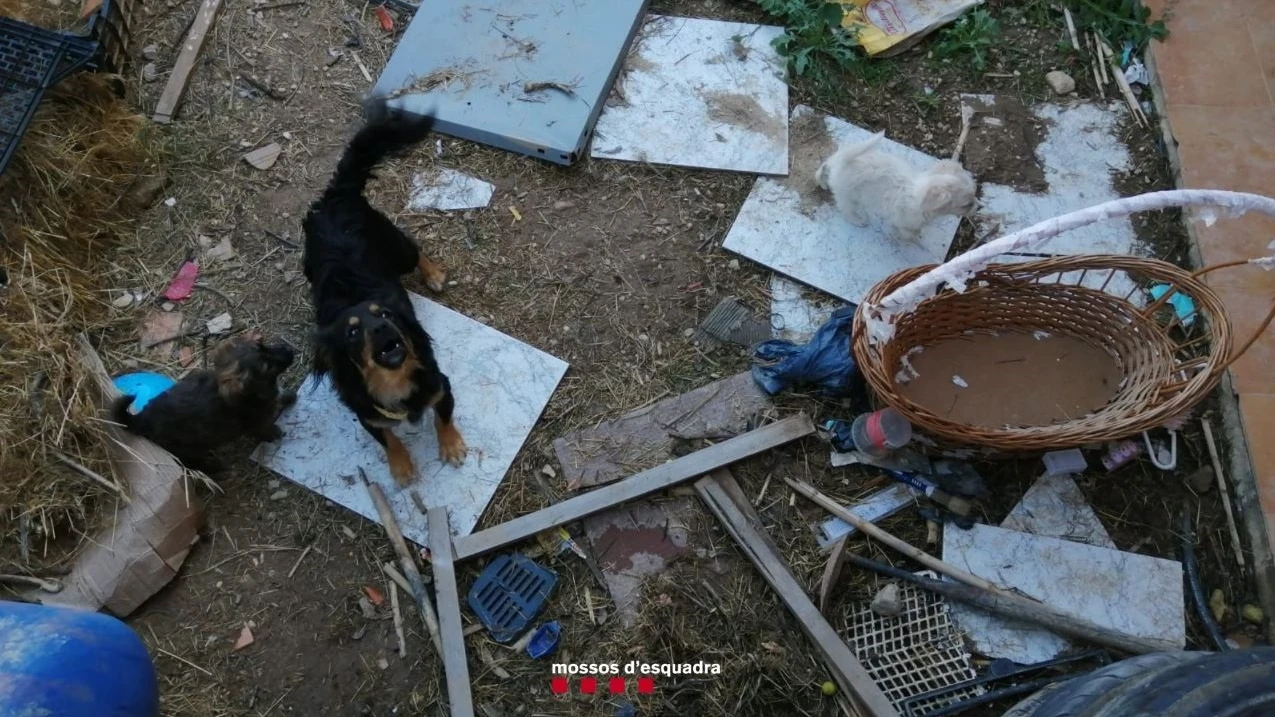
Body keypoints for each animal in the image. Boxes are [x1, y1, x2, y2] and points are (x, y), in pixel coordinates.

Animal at [112, 334, 295, 472]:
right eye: (266, 366)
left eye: (262, 345)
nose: (289, 349)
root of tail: (142, 418)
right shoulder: (255, 423)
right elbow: (265, 428)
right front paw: (274, 432)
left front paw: (288, 396)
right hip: (186, 449)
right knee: (191, 463)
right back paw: (214, 467)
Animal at [300, 102, 466, 484]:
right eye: (352, 331)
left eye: (387, 315)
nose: (381, 329)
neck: (393, 381)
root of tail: (336, 195)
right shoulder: (365, 414)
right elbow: (388, 437)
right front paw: (401, 466)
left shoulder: (441, 385)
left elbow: (443, 416)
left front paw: (452, 445)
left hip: (396, 249)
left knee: (415, 248)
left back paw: (434, 274)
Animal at [816, 132, 974, 243]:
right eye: (966, 205)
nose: (978, 206)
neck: (919, 193)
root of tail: (846, 160)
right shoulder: (904, 220)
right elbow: (907, 231)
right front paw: (909, 236)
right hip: (847, 195)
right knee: (847, 209)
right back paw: (857, 220)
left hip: (837, 164)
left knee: (826, 165)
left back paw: (822, 181)